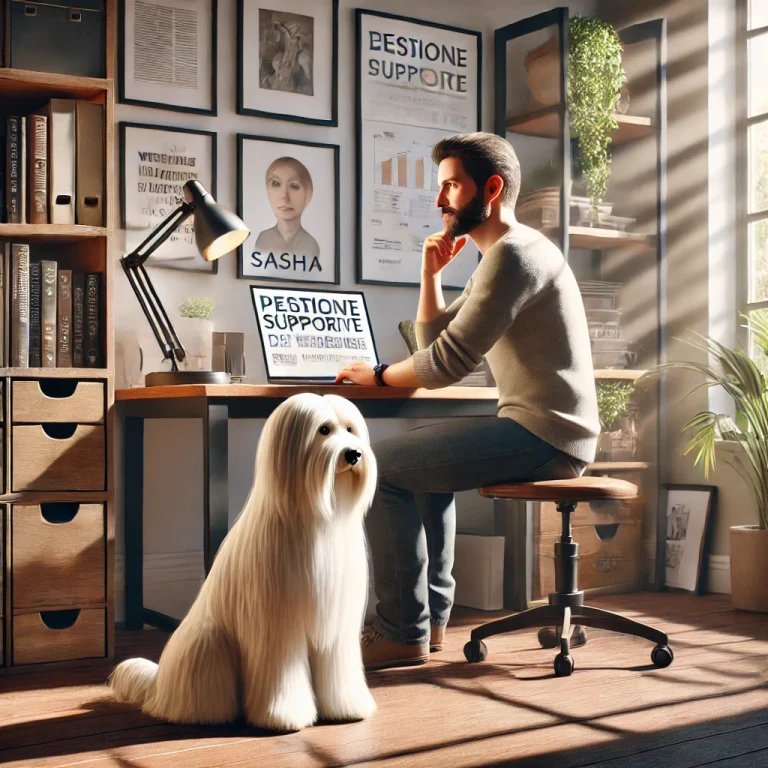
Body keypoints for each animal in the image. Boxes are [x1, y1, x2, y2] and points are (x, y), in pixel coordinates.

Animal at [109, 396, 380, 732]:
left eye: (351, 429)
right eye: (324, 430)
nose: (353, 453)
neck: (317, 515)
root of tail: (158, 684)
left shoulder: (336, 625)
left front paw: (347, 707)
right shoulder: (277, 627)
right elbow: (282, 672)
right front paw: (283, 716)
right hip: (210, 644)